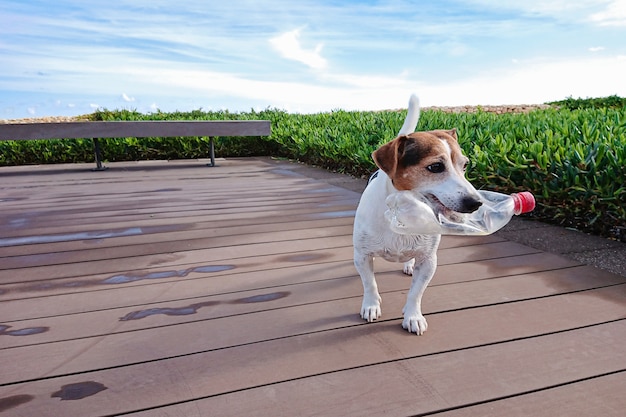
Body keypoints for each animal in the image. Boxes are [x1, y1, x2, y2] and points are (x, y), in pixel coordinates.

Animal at [352, 94, 482, 334]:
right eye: (436, 167)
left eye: (465, 165)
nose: (476, 202)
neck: (403, 214)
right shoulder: (362, 256)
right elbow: (370, 283)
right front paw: (371, 305)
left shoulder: (429, 261)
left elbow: (416, 293)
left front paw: (413, 316)